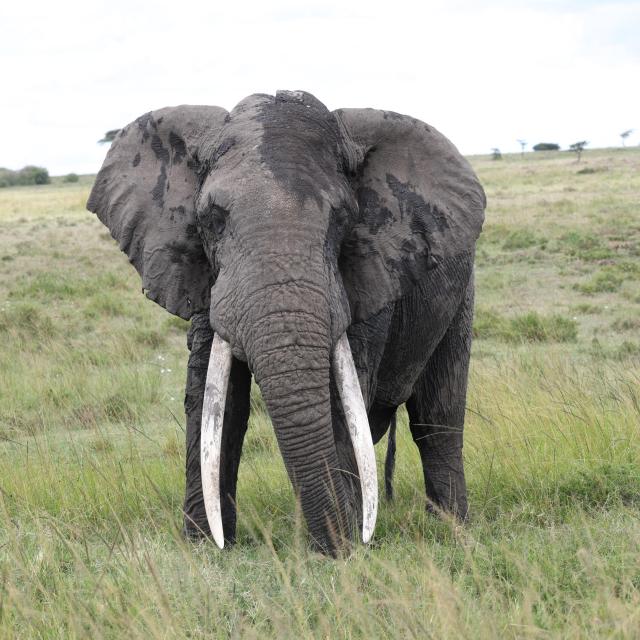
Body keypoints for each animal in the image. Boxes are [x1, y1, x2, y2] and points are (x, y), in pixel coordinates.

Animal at [87, 90, 485, 556]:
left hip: (462, 289)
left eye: (342, 219)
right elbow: (214, 399)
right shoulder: (205, 277)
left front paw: (343, 549)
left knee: (437, 416)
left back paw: (452, 530)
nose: (349, 543)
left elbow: (339, 398)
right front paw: (206, 546)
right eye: (211, 220)